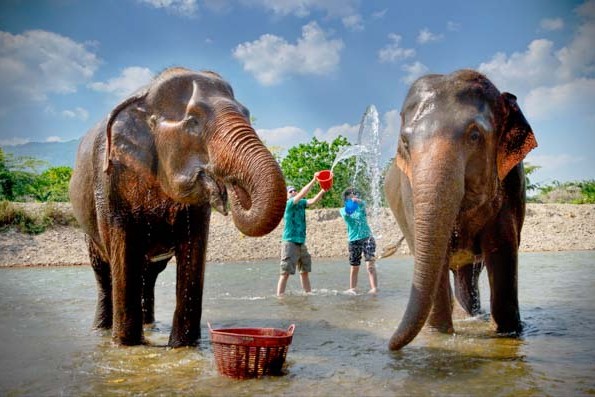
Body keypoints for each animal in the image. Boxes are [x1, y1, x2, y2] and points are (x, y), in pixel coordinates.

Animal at [68, 66, 288, 344]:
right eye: (193, 121)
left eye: (247, 113)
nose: (231, 186)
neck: (145, 96)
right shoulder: (109, 179)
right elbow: (123, 249)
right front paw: (126, 345)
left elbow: (194, 248)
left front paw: (183, 346)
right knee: (104, 272)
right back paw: (101, 331)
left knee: (149, 274)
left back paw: (150, 326)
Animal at [384, 69, 536, 350]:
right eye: (405, 142)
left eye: (474, 136)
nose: (389, 345)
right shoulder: (409, 191)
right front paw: (439, 336)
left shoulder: (513, 183)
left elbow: (502, 249)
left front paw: (508, 333)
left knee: (469, 276)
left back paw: (473, 316)